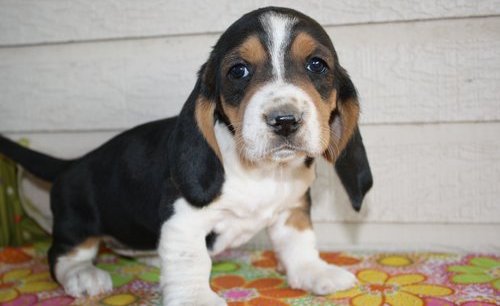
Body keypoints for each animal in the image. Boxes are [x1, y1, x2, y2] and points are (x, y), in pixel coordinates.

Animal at [0, 5, 372, 306]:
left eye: (317, 65)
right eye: (238, 71)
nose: (284, 120)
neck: (261, 171)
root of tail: (72, 163)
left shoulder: (292, 208)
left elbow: (299, 243)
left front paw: (315, 272)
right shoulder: (183, 217)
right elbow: (191, 259)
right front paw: (196, 298)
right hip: (77, 224)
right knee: (62, 256)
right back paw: (84, 274)